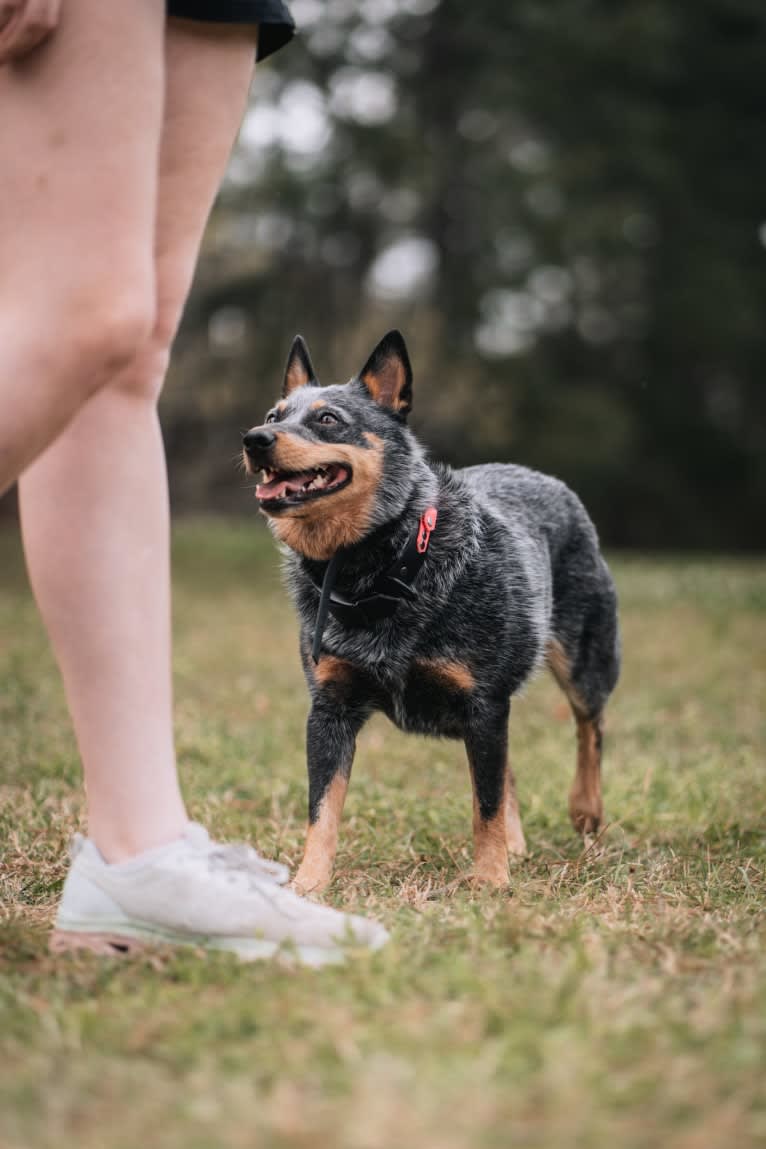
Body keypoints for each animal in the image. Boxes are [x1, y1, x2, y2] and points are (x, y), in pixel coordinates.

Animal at [242, 328, 620, 891]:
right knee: (511, 765)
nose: (254, 439)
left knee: (588, 726)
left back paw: (586, 809)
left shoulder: (484, 702)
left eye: (327, 419)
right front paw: (309, 884)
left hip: (583, 659)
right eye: (274, 415)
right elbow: (322, 809)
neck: (381, 571)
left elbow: (484, 803)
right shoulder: (330, 708)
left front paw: (490, 881)